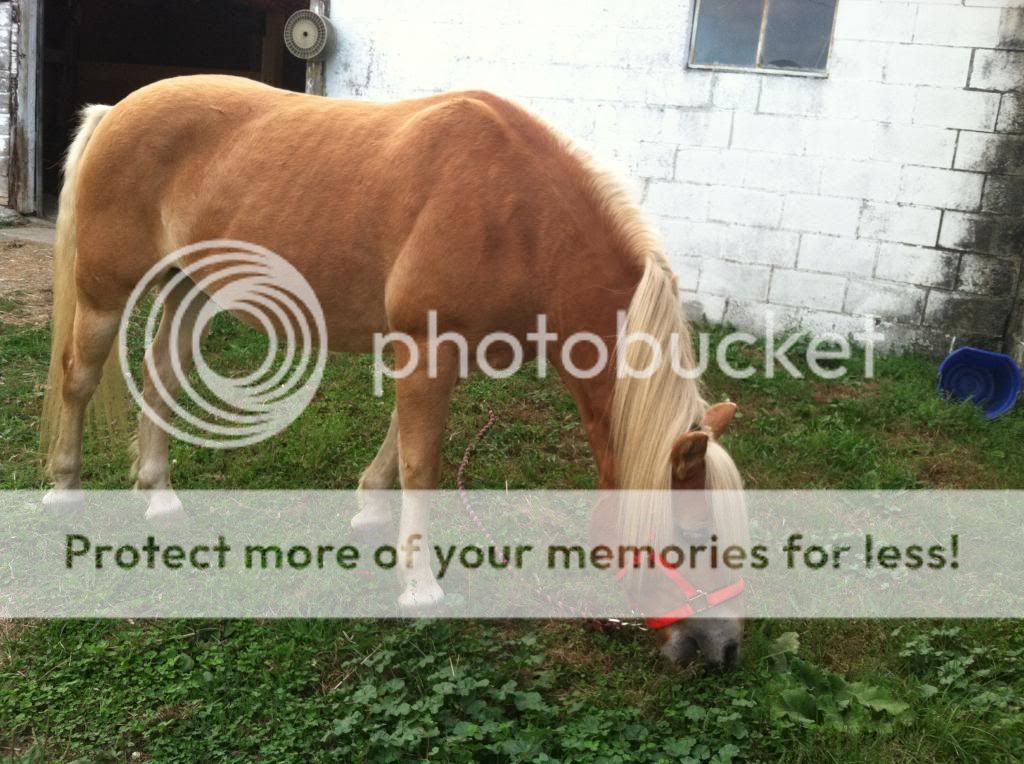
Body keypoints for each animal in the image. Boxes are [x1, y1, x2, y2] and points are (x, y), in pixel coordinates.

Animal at [39, 75, 747, 668]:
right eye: (694, 536)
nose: (724, 649)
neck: (517, 216)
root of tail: (116, 110)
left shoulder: (442, 354)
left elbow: (399, 443)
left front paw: (370, 508)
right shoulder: (428, 348)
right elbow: (421, 464)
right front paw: (420, 586)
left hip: (193, 288)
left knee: (160, 377)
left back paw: (158, 494)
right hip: (105, 294)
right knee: (78, 377)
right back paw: (64, 491)